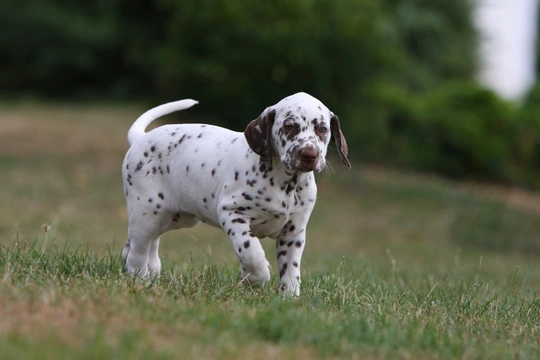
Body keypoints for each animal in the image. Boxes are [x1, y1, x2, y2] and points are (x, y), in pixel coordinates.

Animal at [121, 93, 350, 296]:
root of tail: (141, 138)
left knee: (142, 245)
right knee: (137, 252)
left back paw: (150, 273)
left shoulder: (293, 232)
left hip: (175, 218)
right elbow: (251, 251)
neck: (285, 184)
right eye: (289, 126)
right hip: (147, 213)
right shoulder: (233, 214)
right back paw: (139, 280)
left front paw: (289, 297)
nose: (309, 154)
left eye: (322, 129)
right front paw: (256, 277)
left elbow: (291, 269)